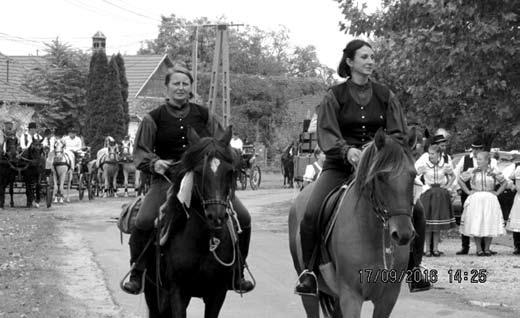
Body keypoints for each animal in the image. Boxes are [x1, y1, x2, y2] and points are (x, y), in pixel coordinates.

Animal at [143, 126, 247, 318]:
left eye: (229, 172)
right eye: (198, 172)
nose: (216, 216)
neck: (205, 241)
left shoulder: (217, 293)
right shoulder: (177, 292)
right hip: (152, 292)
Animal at [286, 128, 416, 316]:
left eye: (413, 175)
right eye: (381, 176)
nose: (403, 233)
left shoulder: (388, 298)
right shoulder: (351, 297)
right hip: (310, 293)